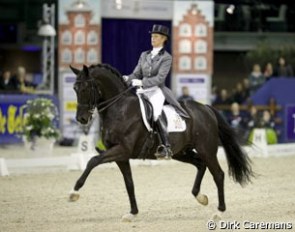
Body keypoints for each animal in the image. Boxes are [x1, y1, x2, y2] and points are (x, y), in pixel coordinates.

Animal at [69, 64, 254, 221]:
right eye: (75, 89)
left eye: (85, 88)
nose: (81, 119)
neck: (119, 109)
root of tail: (206, 108)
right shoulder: (121, 156)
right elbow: (129, 183)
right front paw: (132, 213)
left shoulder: (122, 150)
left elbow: (93, 161)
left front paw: (74, 192)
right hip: (181, 152)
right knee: (200, 165)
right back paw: (200, 197)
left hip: (206, 149)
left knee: (218, 174)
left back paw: (218, 212)